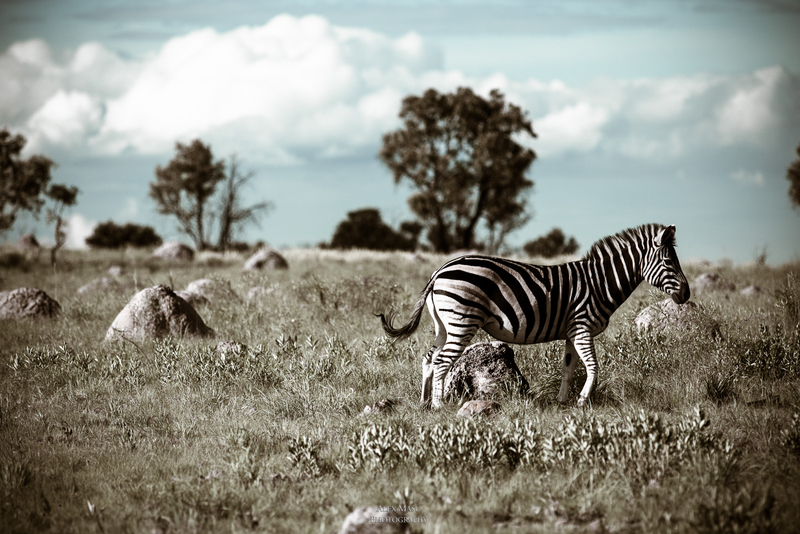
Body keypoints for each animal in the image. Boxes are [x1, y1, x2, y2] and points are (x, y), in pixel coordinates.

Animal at [378, 223, 690, 409]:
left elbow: (568, 368)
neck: (599, 282)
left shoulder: (572, 332)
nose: (687, 294)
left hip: (444, 324)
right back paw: (440, 405)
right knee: (442, 361)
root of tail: (439, 270)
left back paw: (424, 403)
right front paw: (582, 401)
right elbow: (593, 366)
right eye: (668, 262)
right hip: (462, 321)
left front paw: (563, 401)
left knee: (428, 358)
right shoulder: (583, 326)